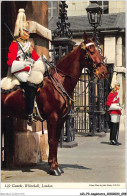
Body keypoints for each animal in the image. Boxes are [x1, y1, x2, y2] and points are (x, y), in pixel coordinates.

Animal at [1, 33, 107, 175]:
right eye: (90, 51)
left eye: (98, 51)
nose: (104, 72)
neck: (59, 81)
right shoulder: (53, 117)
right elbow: (51, 140)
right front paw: (53, 168)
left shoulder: (61, 119)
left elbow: (55, 141)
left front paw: (55, 165)